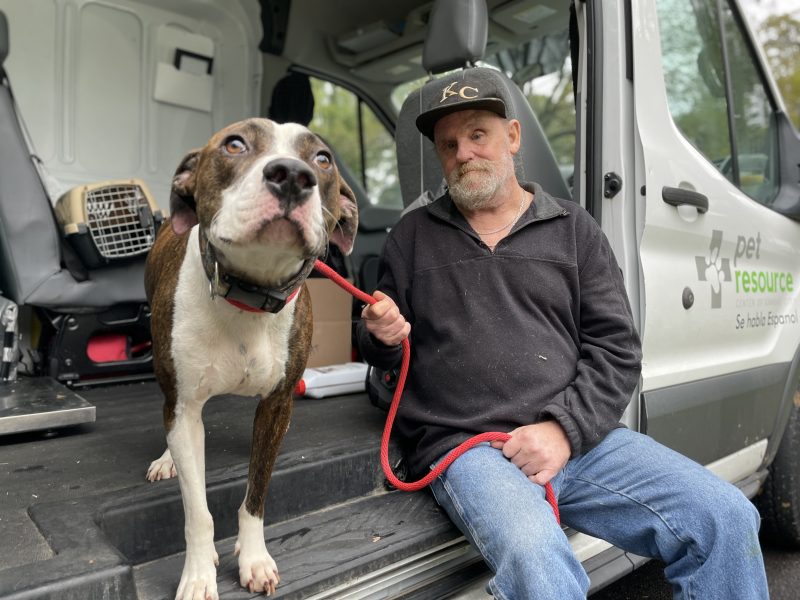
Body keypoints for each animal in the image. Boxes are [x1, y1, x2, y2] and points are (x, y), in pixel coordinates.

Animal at [142, 118, 358, 600]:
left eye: (322, 158)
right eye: (234, 144)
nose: (293, 175)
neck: (248, 295)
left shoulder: (277, 404)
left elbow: (256, 494)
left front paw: (254, 559)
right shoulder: (185, 408)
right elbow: (198, 510)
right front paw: (199, 574)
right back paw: (166, 459)